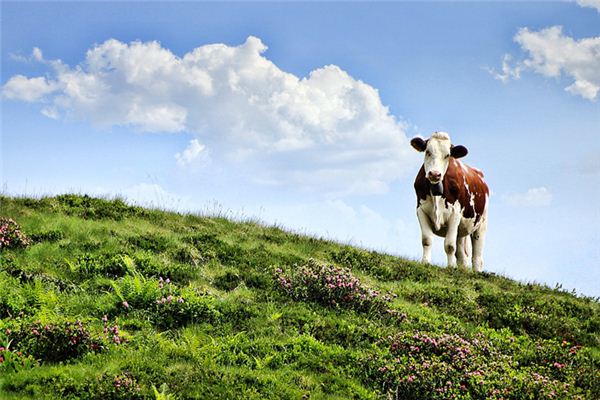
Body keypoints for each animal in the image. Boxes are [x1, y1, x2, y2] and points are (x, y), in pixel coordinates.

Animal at [410, 132, 490, 272]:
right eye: (428, 151)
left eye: (447, 155)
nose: (435, 174)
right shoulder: (421, 210)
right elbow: (427, 240)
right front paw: (425, 262)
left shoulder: (455, 214)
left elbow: (449, 245)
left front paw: (451, 267)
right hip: (461, 230)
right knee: (462, 255)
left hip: (481, 224)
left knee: (477, 256)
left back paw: (477, 272)